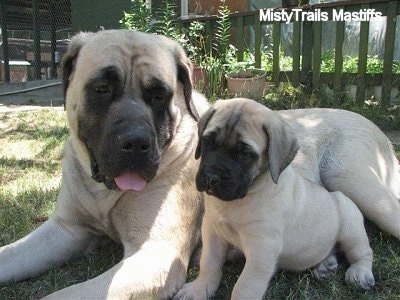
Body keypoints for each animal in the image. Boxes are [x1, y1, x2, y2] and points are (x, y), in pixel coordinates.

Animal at [0, 29, 208, 298]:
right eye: (102, 88)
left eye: (159, 95)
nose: (136, 142)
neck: (103, 192)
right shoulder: (67, 228)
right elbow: (9, 253)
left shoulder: (155, 256)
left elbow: (64, 294)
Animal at [176, 97, 378, 298]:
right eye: (208, 141)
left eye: (245, 153)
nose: (211, 178)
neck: (240, 200)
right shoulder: (213, 232)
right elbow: (209, 263)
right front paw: (199, 289)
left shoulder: (261, 251)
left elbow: (244, 287)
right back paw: (325, 266)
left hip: (351, 229)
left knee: (363, 251)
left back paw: (360, 272)